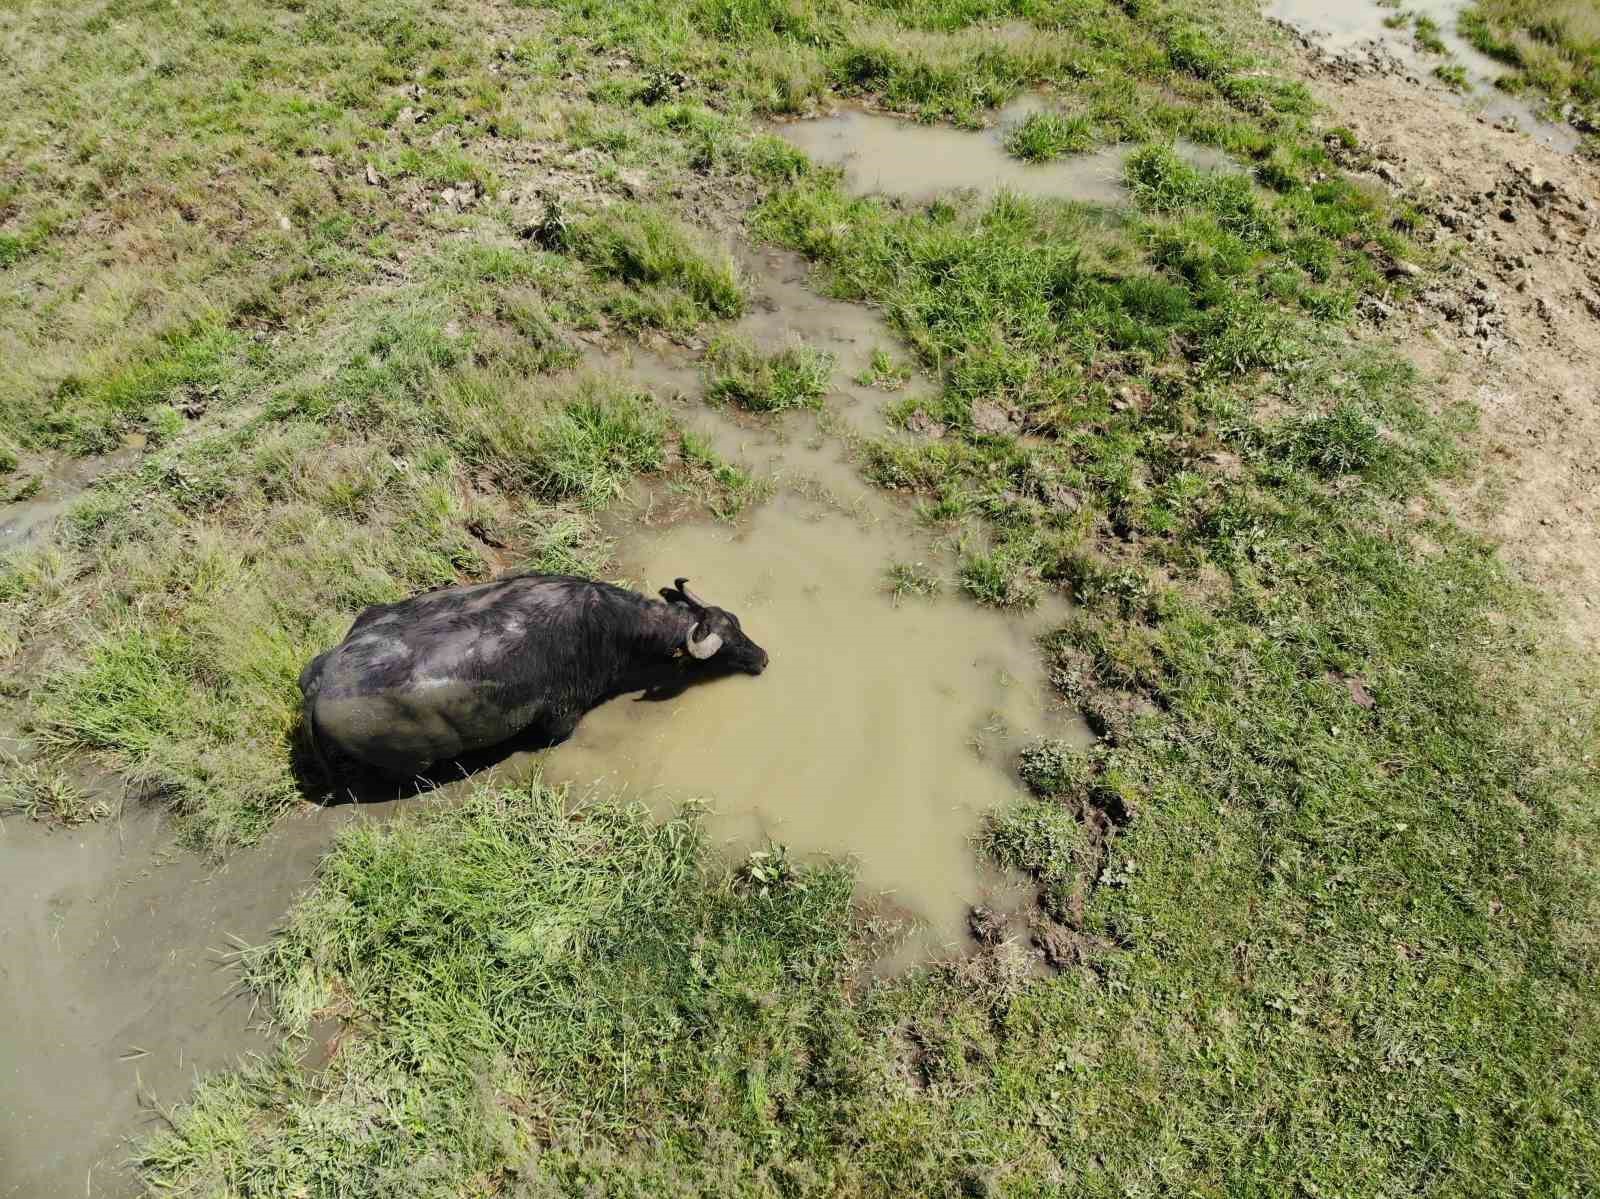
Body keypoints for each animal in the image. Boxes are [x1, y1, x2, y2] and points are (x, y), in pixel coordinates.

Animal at [304, 576, 768, 781]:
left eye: (738, 625)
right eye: (726, 648)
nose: (763, 658)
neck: (607, 626)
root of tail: (322, 678)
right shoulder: (560, 719)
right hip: (411, 764)